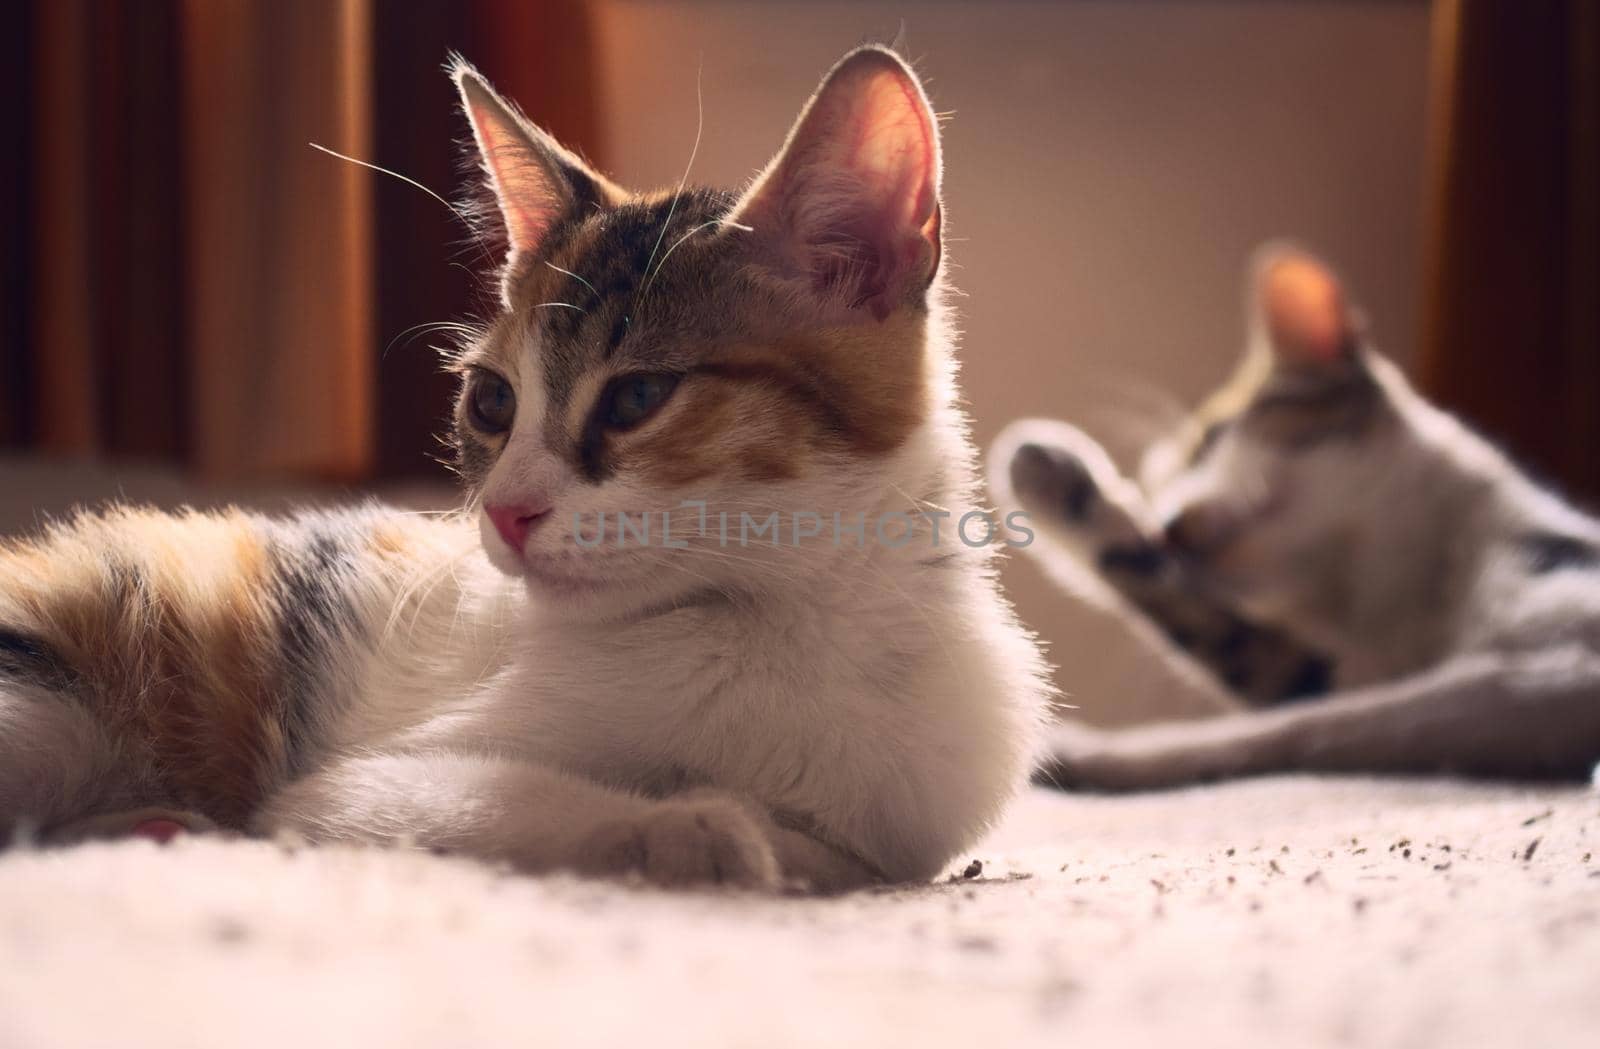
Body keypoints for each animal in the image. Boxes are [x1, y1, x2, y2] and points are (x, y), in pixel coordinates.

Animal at [0, 45, 1049, 889]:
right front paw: (698, 826)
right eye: (492, 402)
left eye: (636, 397)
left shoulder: (920, 803)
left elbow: (857, 850)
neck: (789, 616)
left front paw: (778, 837)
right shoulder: (351, 786)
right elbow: (506, 800)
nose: (503, 512)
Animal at [985, 246, 1600, 786]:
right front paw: (1062, 490)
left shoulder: (1556, 678)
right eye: (1159, 491)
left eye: (1212, 439)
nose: (1165, 523)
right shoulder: (1320, 671)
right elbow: (1221, 637)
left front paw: (1084, 752)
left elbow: (1321, 726)